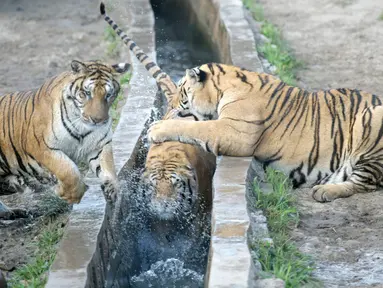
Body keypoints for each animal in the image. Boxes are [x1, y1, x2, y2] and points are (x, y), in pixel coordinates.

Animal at [0, 59, 130, 219]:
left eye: (109, 95)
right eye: (86, 93)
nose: (97, 120)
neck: (82, 126)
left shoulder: (99, 145)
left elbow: (107, 167)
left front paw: (113, 191)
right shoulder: (42, 147)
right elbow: (68, 171)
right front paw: (66, 193)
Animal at [148, 63, 383, 202]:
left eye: (181, 89)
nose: (171, 104)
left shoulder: (232, 131)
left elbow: (194, 127)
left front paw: (156, 128)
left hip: (371, 121)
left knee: (364, 183)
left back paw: (324, 191)